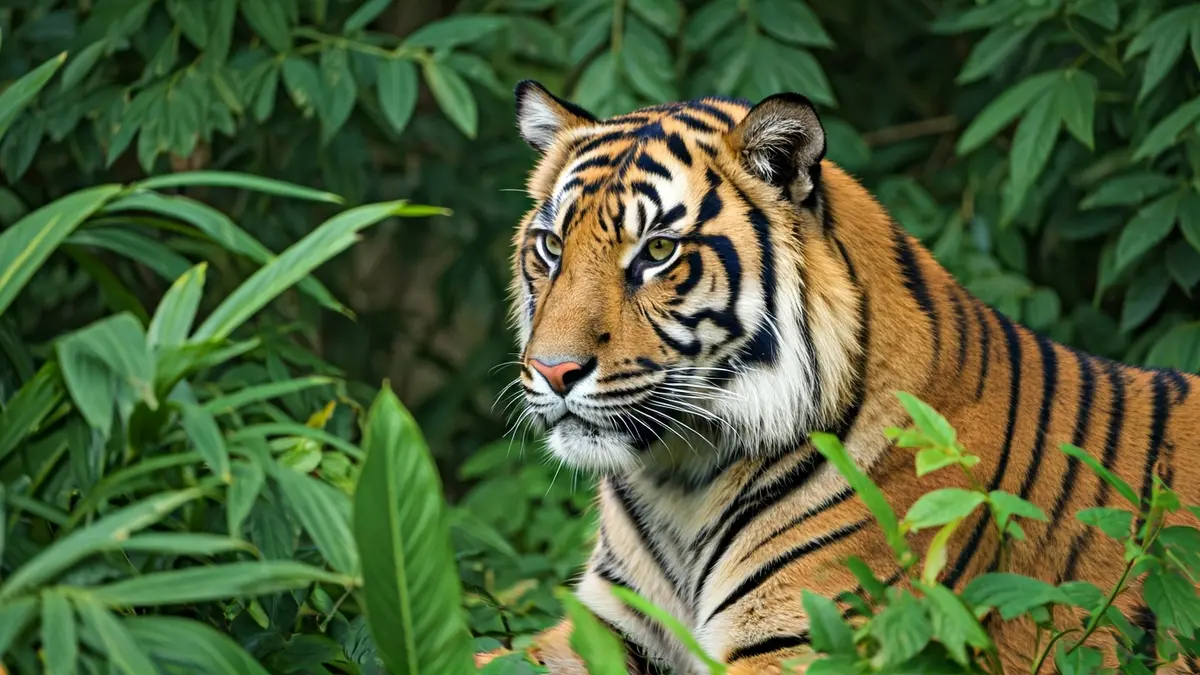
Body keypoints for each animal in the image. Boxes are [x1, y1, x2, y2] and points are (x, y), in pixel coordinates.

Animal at [489, 79, 1200, 674]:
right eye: (551, 246)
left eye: (659, 251)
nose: (553, 371)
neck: (678, 484)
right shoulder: (603, 626)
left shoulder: (806, 638)